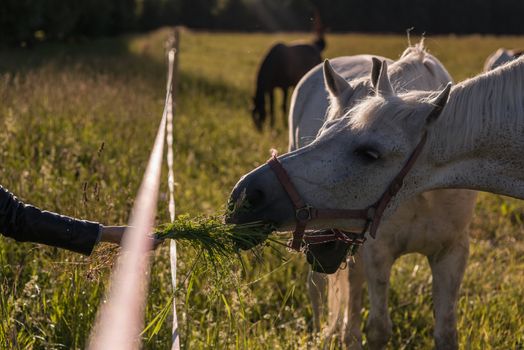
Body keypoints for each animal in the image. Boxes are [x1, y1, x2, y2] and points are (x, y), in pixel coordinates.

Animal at [290, 46, 478, 350]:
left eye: (366, 154)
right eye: (321, 137)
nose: (320, 247)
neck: (423, 192)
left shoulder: (451, 253)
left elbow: (446, 333)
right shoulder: (378, 252)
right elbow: (379, 328)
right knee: (320, 286)